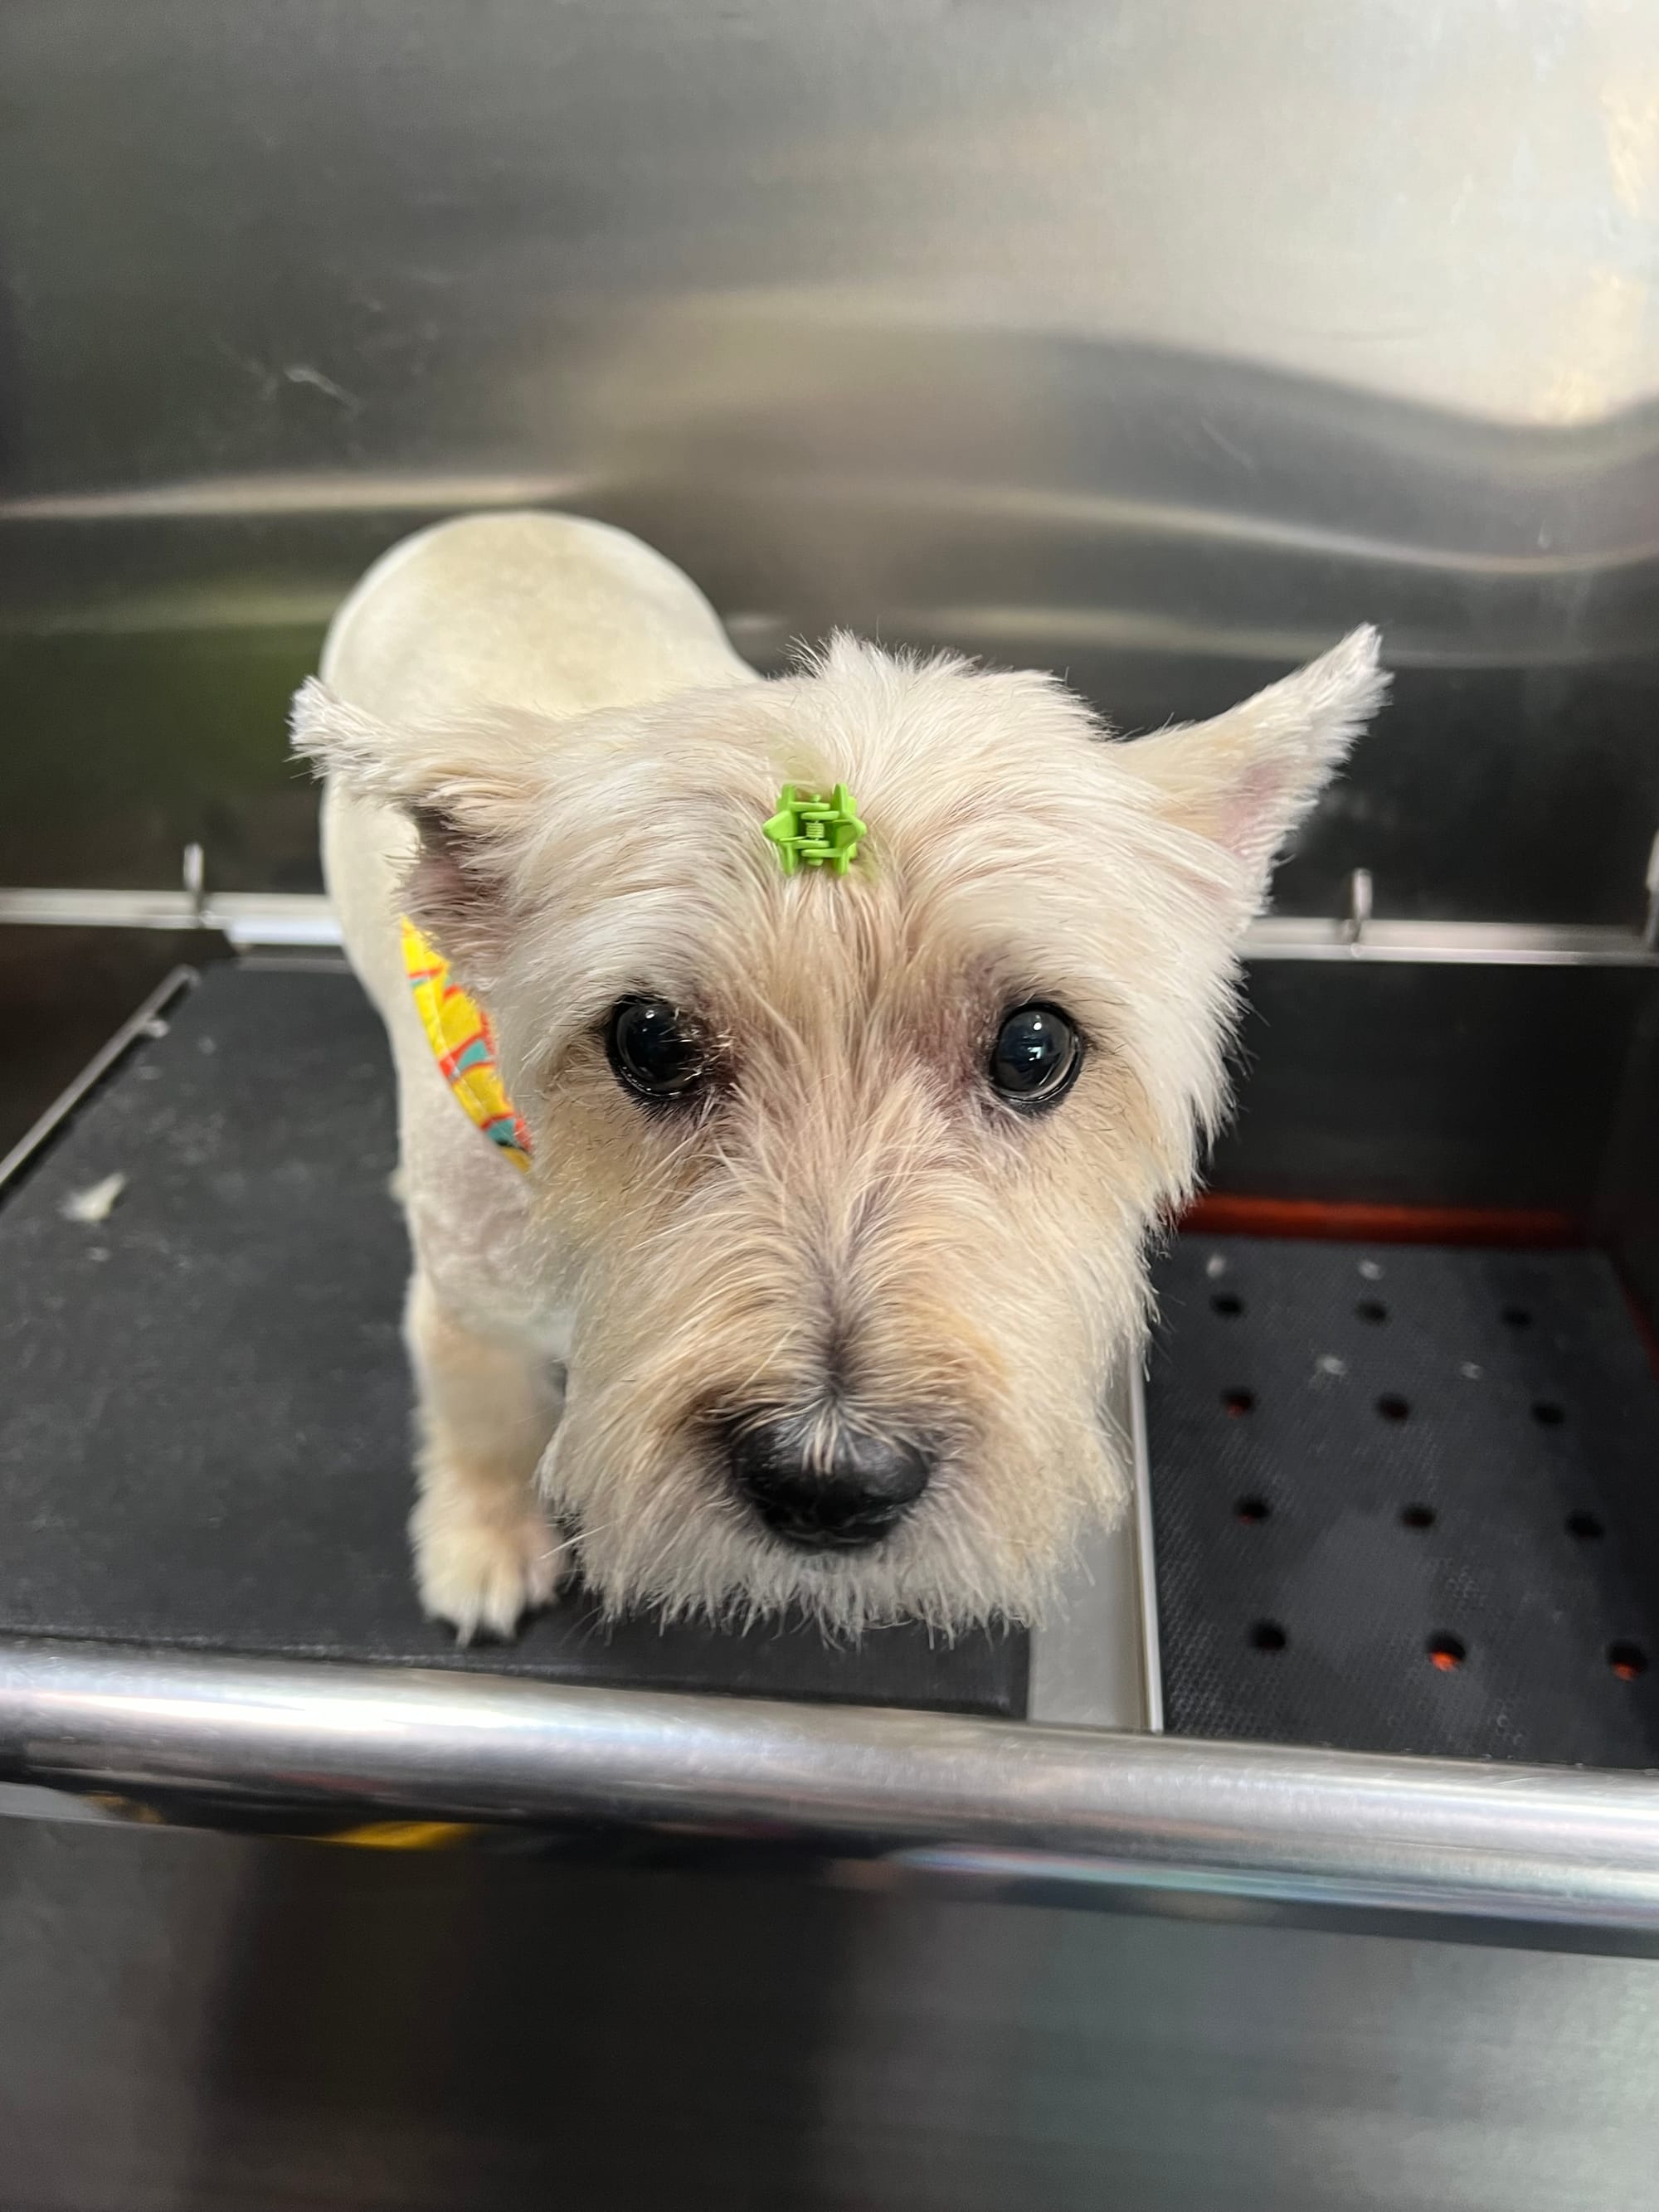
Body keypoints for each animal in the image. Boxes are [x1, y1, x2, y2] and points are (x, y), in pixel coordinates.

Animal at [293, 511, 1385, 1640]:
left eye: (1034, 1048)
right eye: (649, 1040)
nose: (827, 1482)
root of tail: (497, 516)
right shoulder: (466, 1311)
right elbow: (480, 1419)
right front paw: (481, 1539)